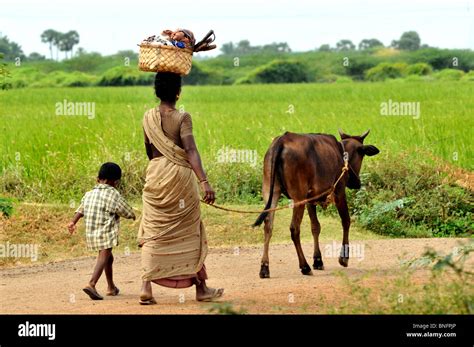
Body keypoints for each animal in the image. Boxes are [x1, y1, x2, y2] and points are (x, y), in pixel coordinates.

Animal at [254, 129, 380, 278]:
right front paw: (343, 258)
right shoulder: (339, 191)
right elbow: (346, 221)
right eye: (362, 154)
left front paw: (318, 260)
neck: (341, 153)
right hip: (298, 196)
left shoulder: (311, 199)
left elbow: (315, 227)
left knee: (268, 226)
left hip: (270, 191)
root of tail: (282, 140)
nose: (356, 182)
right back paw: (304, 266)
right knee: (294, 228)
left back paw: (264, 267)